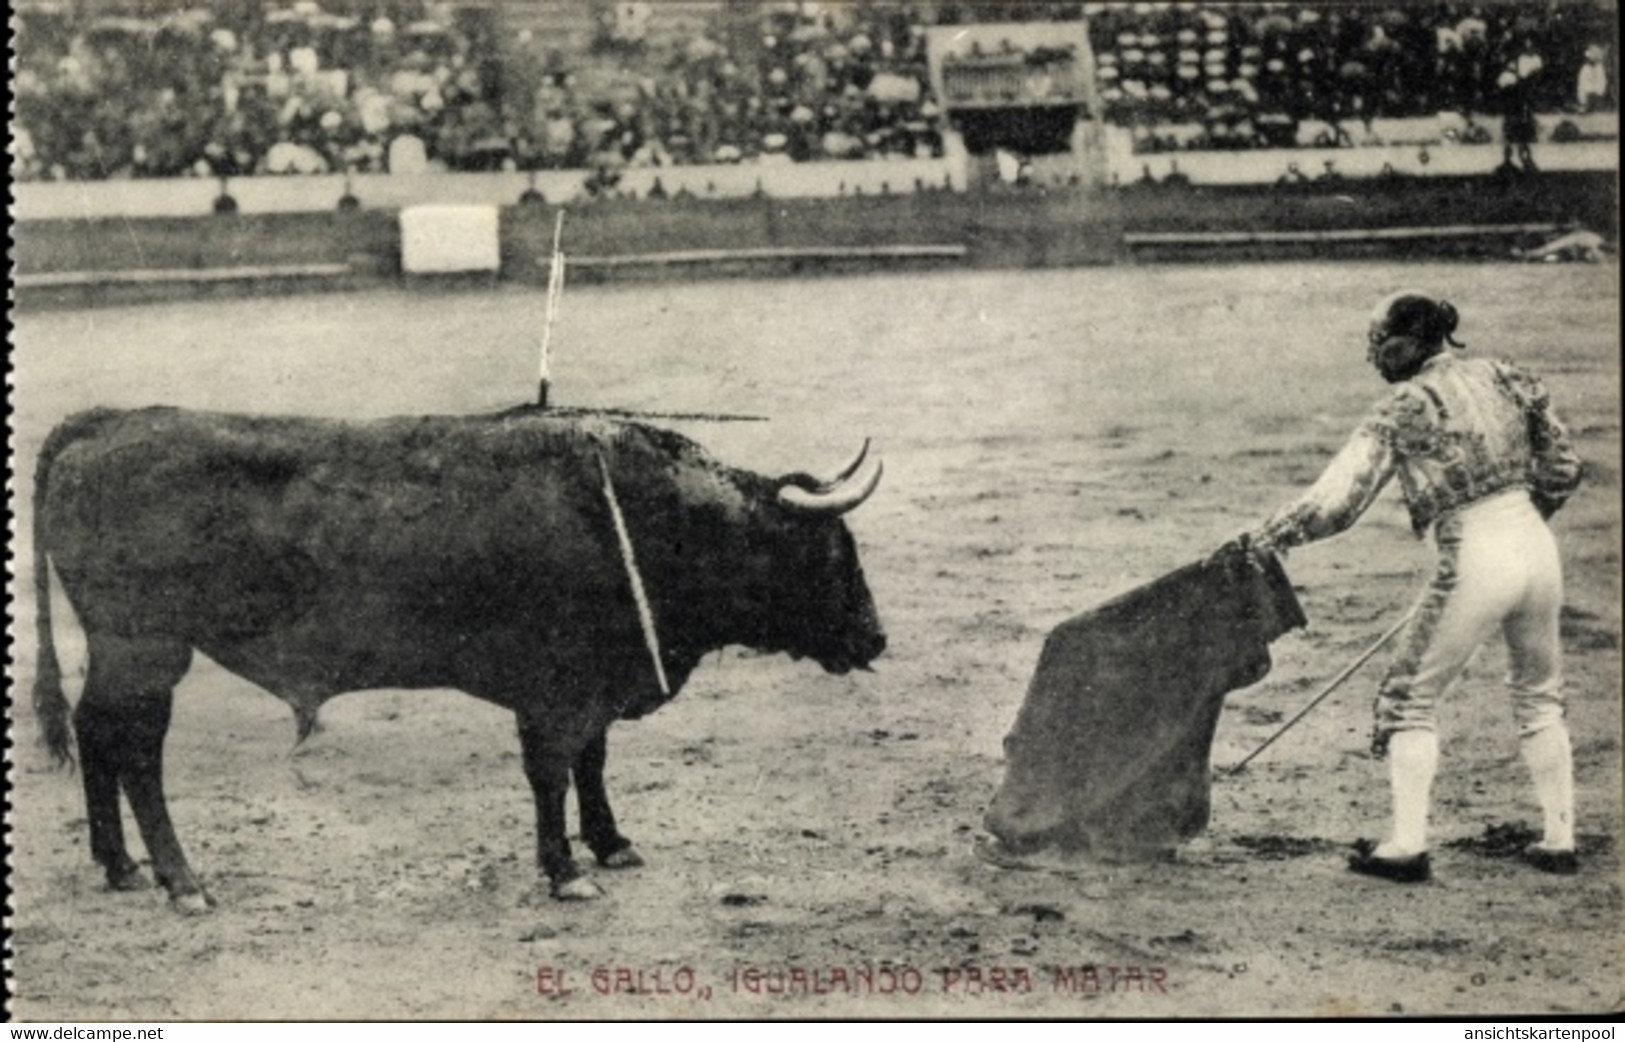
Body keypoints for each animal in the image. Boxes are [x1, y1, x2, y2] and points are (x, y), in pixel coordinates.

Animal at [28, 406, 890, 910]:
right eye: (827, 551)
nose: (876, 639)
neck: (646, 515)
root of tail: (105, 424)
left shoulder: (593, 684)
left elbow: (593, 761)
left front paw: (611, 844)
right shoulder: (553, 690)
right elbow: (552, 771)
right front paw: (564, 870)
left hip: (121, 653)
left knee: (97, 733)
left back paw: (120, 866)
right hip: (148, 649)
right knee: (137, 749)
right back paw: (183, 881)